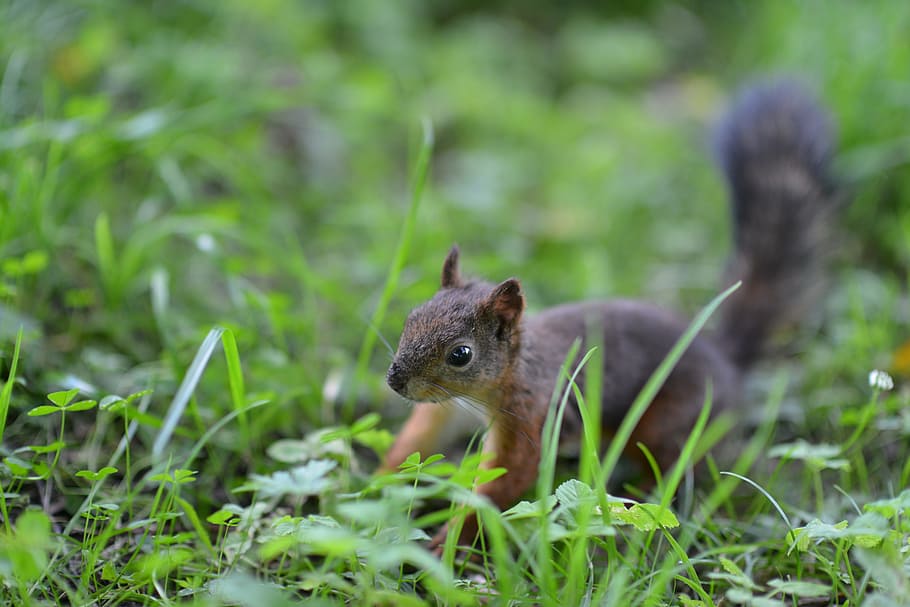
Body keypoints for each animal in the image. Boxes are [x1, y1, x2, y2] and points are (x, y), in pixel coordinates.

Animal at [381, 81, 837, 551]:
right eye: (411, 318)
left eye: (461, 355)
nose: (396, 381)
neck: (505, 375)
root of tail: (726, 359)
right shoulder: (448, 406)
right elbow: (421, 434)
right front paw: (379, 482)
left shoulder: (532, 415)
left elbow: (504, 482)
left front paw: (446, 545)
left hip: (671, 421)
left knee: (679, 468)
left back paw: (640, 499)